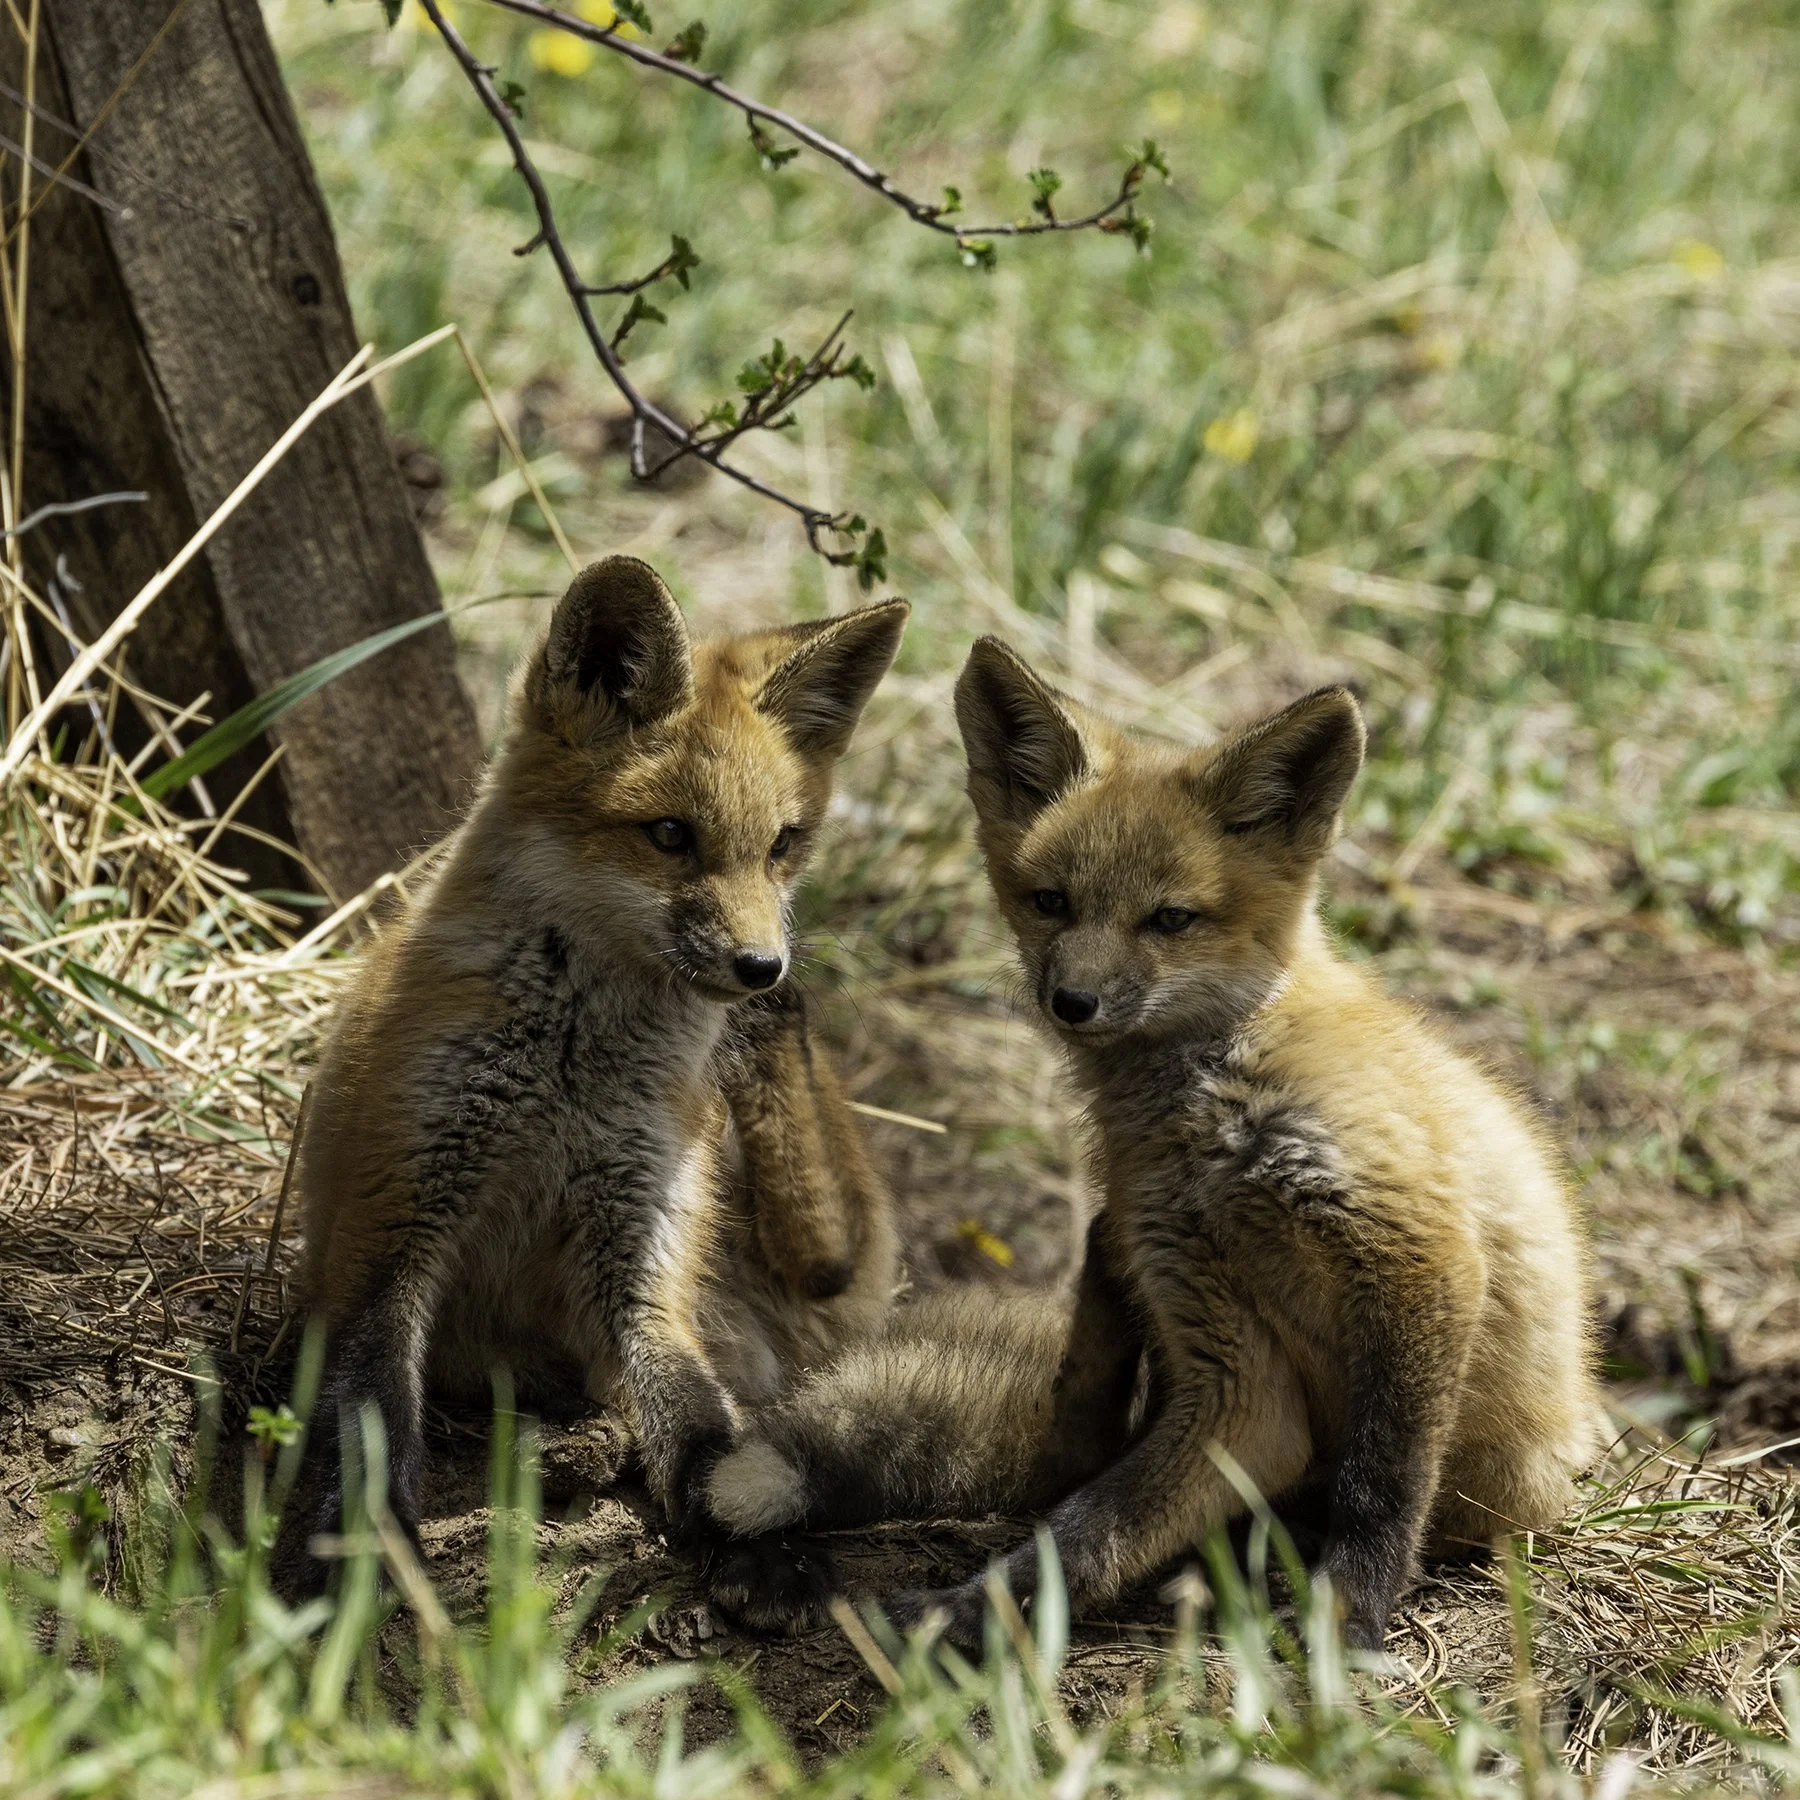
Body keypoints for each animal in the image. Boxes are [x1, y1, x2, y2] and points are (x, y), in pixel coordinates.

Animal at [273, 555, 907, 1595]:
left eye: (782, 844)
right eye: (670, 835)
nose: (762, 967)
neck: (569, 1079)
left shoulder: (641, 1254)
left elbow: (700, 1420)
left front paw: (748, 1542)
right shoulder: (385, 1227)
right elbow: (369, 1419)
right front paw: (360, 1552)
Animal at [707, 637, 1603, 1651]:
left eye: (1170, 919)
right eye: (1051, 902)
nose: (1073, 1002)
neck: (1221, 1106)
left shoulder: (1415, 1251)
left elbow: (1383, 1481)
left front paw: (1351, 1619)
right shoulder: (1225, 1352)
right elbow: (1085, 1534)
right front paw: (967, 1619)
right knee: (1088, 1444)